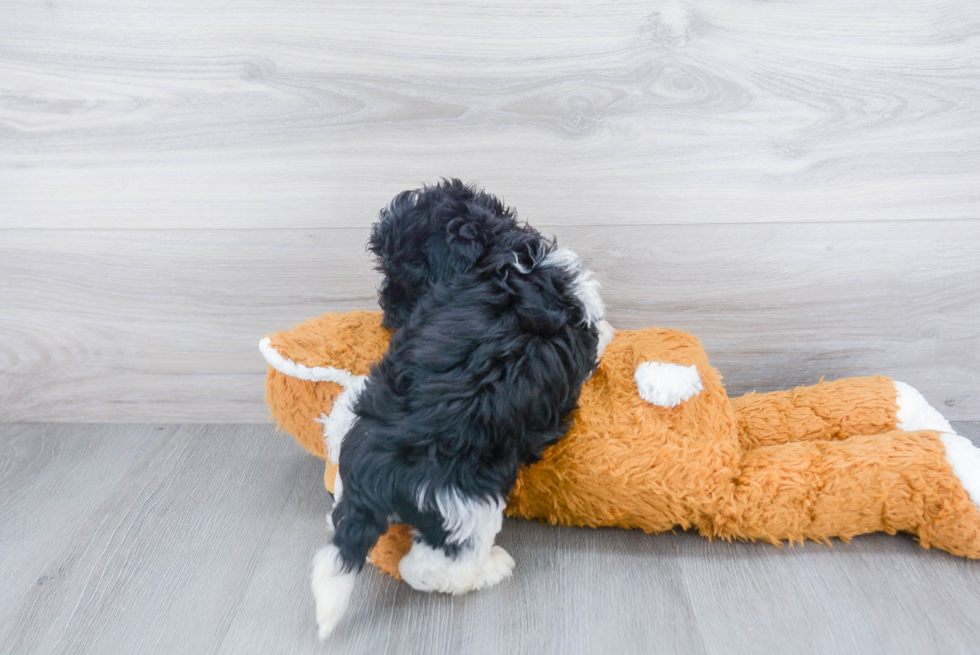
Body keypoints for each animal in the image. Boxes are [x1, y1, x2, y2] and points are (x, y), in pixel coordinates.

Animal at [312, 182, 612, 640]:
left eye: (396, 274)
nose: (388, 315)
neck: (501, 254)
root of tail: (375, 473)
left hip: (363, 408)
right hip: (467, 506)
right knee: (427, 566)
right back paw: (492, 568)